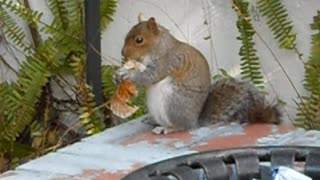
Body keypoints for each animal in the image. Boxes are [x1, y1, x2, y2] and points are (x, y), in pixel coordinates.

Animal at [114, 16, 280, 134]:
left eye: (139, 40)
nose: (123, 53)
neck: (159, 47)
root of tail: (195, 121)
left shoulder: (168, 62)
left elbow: (150, 76)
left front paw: (127, 73)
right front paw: (118, 75)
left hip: (173, 103)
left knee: (183, 127)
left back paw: (167, 128)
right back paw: (153, 121)